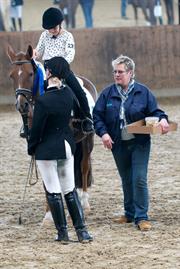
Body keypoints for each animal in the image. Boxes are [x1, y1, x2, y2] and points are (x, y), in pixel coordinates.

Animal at [7, 43, 97, 220]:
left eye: (30, 73)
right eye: (12, 76)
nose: (22, 105)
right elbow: (47, 180)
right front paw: (49, 214)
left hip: (87, 139)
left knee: (83, 166)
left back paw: (84, 202)